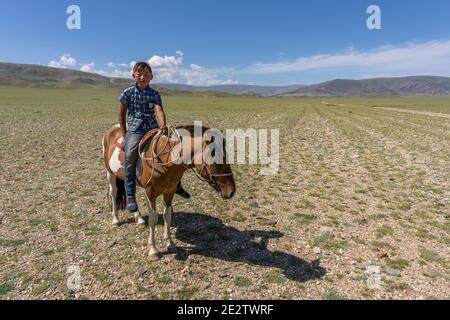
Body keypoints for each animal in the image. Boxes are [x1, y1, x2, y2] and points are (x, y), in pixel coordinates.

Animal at [102, 124, 236, 260]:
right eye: (214, 155)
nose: (231, 191)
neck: (165, 160)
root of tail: (112, 129)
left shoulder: (169, 191)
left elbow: (167, 215)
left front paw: (170, 243)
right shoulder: (150, 193)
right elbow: (153, 219)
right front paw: (153, 250)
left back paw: (139, 218)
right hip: (110, 173)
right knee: (113, 193)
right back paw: (115, 220)